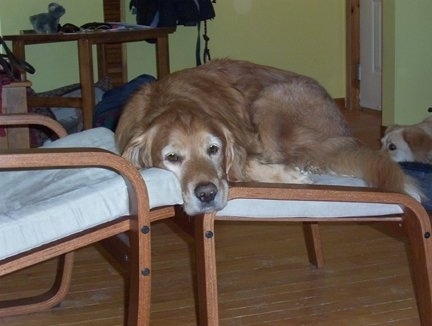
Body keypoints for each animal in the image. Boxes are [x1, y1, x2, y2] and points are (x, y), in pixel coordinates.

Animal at [115, 59, 418, 215]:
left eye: (214, 149)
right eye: (172, 157)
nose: (207, 194)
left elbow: (247, 163)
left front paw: (290, 177)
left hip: (269, 100)